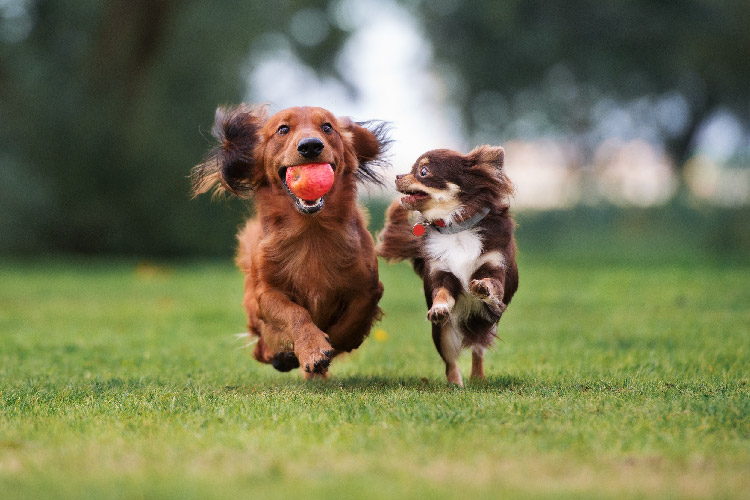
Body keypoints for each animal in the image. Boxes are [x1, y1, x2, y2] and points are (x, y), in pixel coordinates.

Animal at [194, 105, 390, 378]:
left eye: (327, 127)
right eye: (283, 129)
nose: (310, 146)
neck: (311, 231)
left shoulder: (369, 288)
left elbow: (351, 321)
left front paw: (330, 345)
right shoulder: (266, 293)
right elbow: (295, 313)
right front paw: (312, 348)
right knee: (261, 347)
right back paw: (282, 356)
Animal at [378, 146, 520, 384]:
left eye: (423, 172)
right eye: (411, 169)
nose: (397, 176)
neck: (456, 228)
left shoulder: (495, 267)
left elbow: (492, 283)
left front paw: (483, 286)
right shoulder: (442, 274)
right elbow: (442, 294)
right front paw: (439, 308)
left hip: (486, 324)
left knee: (477, 350)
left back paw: (478, 378)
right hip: (442, 334)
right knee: (450, 362)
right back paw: (455, 384)